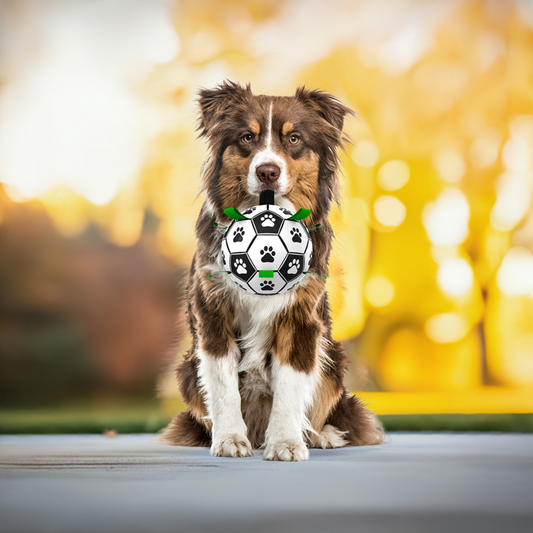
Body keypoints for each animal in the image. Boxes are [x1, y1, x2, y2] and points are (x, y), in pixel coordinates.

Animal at [158, 81, 382, 460]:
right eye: (247, 137)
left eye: (294, 139)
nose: (267, 171)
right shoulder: (213, 314)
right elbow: (223, 388)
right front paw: (230, 440)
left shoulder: (300, 318)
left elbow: (290, 389)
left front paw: (286, 443)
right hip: (187, 369)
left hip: (331, 360)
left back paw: (320, 435)